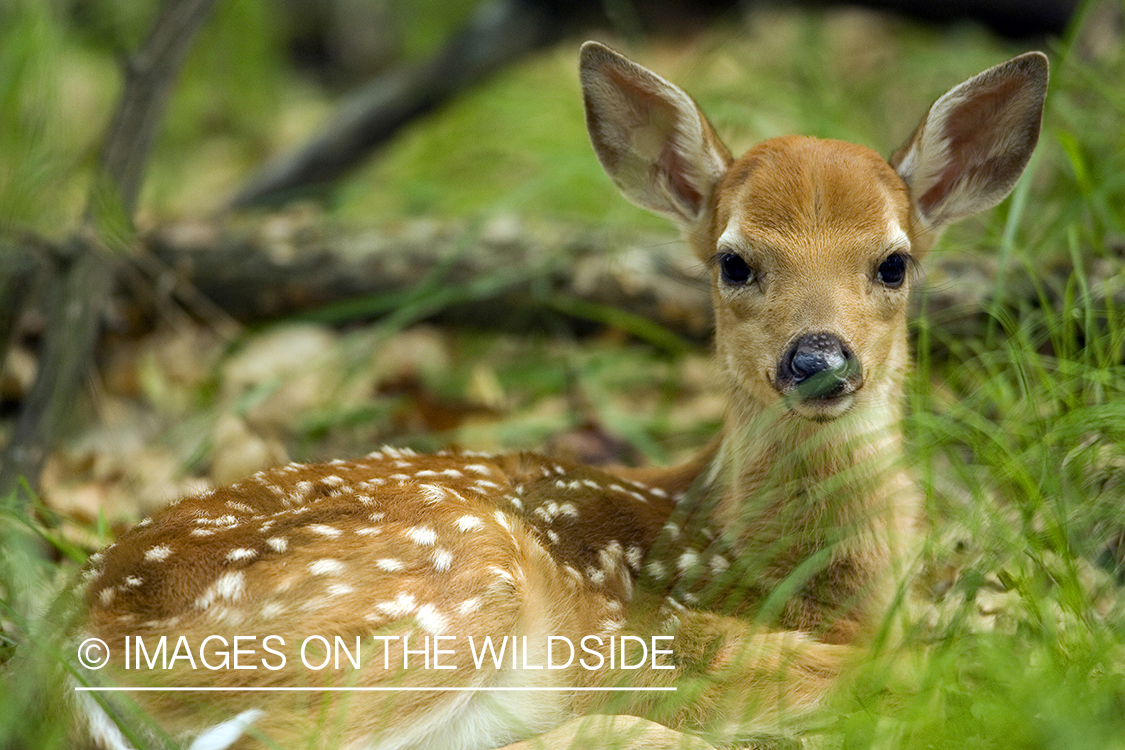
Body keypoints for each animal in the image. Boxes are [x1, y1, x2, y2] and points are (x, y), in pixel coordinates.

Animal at [77, 42, 1047, 750]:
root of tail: (77, 660)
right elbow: (901, 676)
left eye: (892, 263)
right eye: (734, 262)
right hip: (447, 581)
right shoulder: (660, 631)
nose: (818, 358)